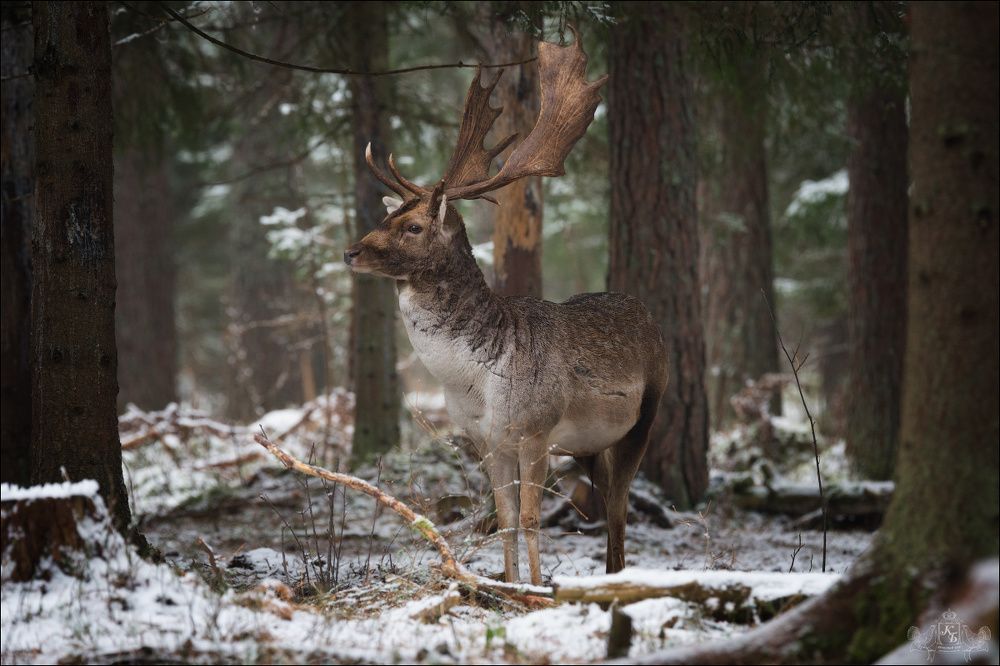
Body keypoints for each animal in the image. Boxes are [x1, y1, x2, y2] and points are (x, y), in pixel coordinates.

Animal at [344, 31, 668, 585]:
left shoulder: (536, 428)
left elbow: (534, 519)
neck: (473, 381)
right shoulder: (487, 439)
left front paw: (537, 589)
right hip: (589, 445)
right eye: (389, 219)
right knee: (608, 503)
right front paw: (510, 583)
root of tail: (649, 317)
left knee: (620, 506)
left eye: (413, 227)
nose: (352, 252)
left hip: (647, 412)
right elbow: (506, 519)